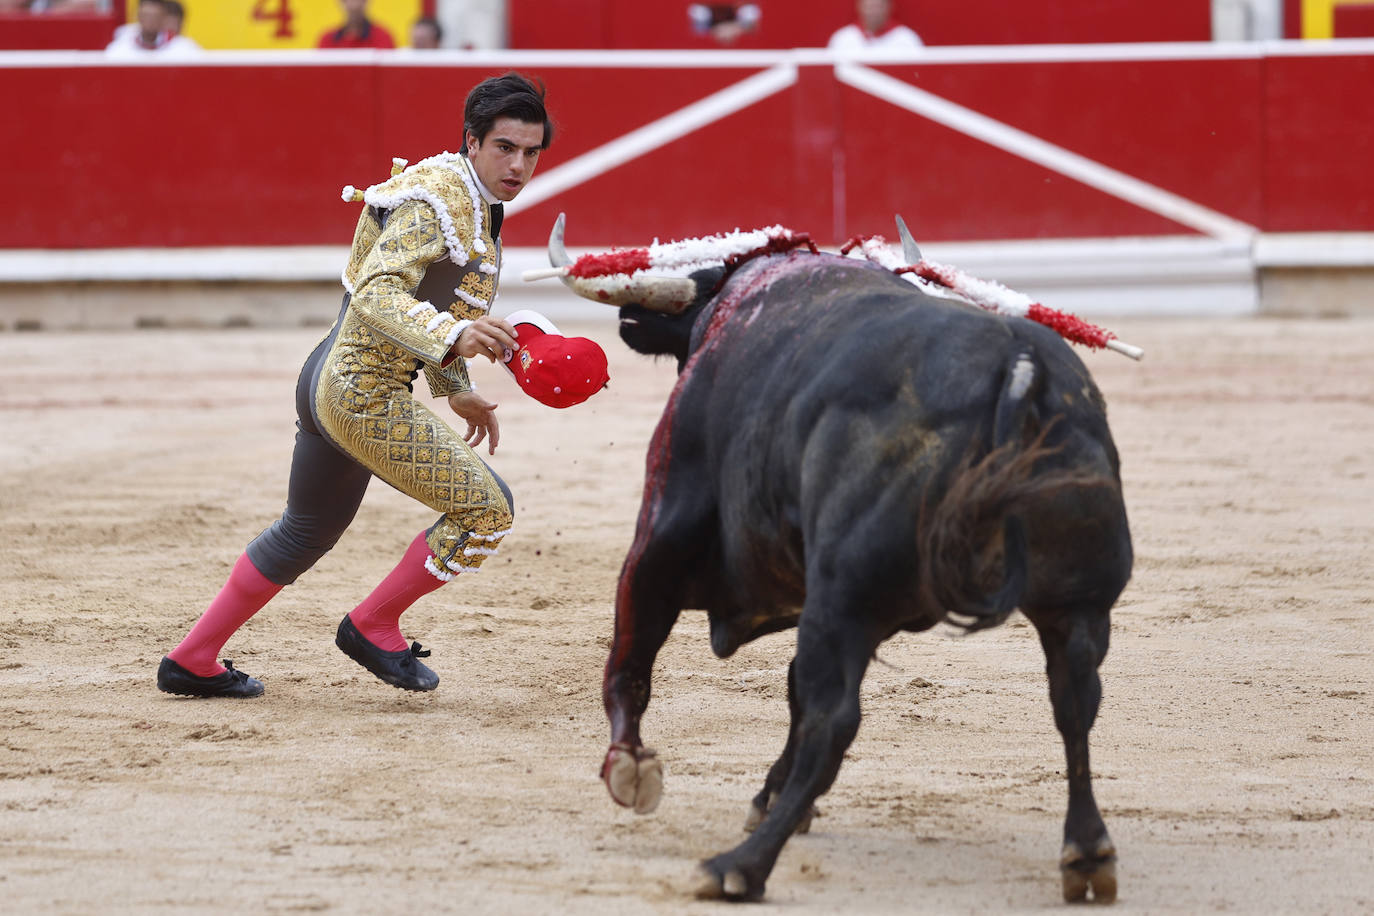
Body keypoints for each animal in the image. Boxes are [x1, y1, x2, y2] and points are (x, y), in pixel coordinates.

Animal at [541, 215, 1132, 900]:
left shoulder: (660, 536)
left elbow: (630, 660)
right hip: (1078, 601)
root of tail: (1018, 368)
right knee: (1075, 699)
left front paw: (631, 769)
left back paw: (738, 866)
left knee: (835, 719)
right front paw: (771, 796)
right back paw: (1087, 853)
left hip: (846, 597)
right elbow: (790, 686)